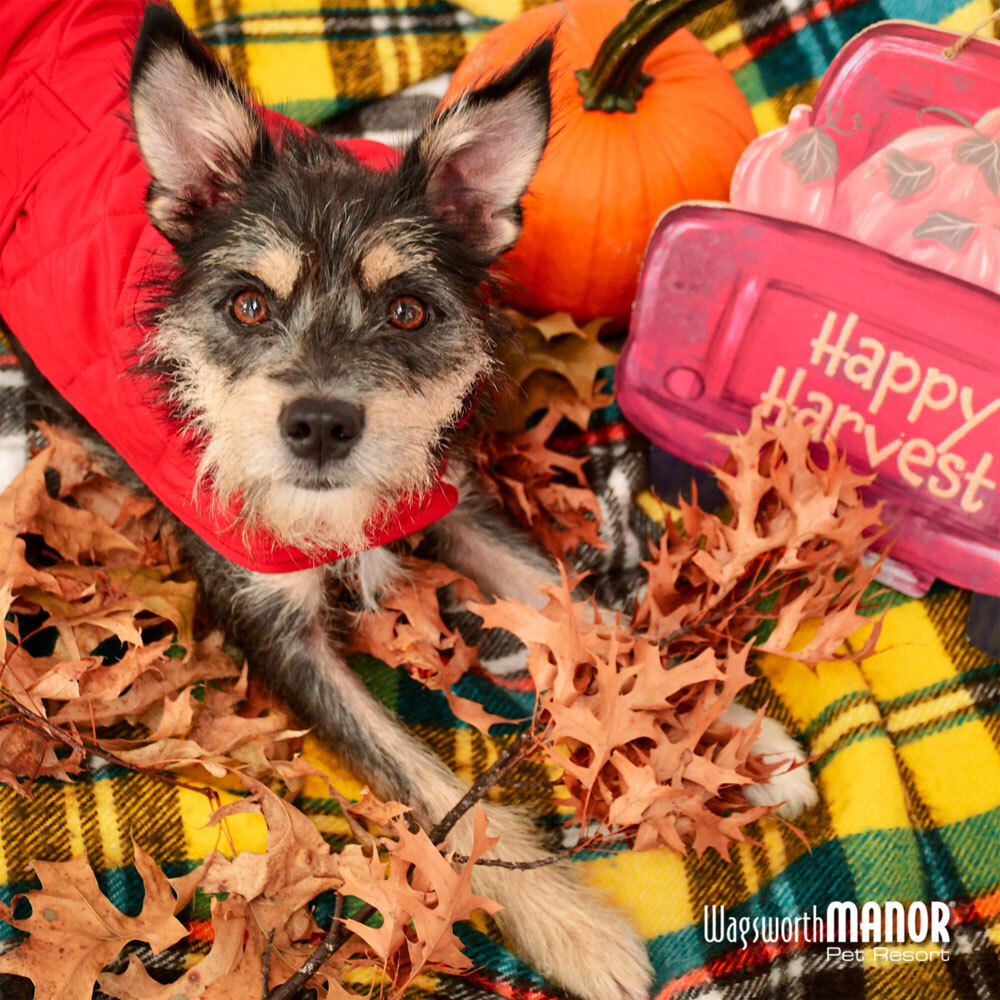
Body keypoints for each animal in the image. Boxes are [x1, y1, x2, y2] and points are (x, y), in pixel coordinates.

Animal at [0, 3, 812, 996]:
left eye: (408, 312)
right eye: (247, 306)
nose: (319, 424)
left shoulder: (445, 499)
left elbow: (602, 619)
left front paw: (732, 737)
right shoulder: (273, 628)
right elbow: (429, 786)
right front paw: (577, 930)